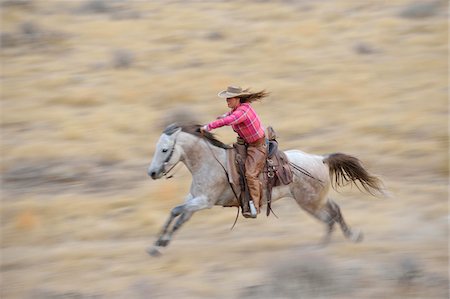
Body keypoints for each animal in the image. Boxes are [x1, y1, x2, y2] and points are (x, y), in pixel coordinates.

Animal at [146, 123, 384, 256]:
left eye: (164, 149)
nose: (152, 172)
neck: (209, 162)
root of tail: (321, 159)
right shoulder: (194, 199)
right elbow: (179, 218)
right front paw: (159, 245)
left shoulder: (204, 201)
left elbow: (175, 211)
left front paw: (158, 244)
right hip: (315, 200)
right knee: (334, 210)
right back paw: (343, 238)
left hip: (310, 202)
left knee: (331, 215)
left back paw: (330, 244)